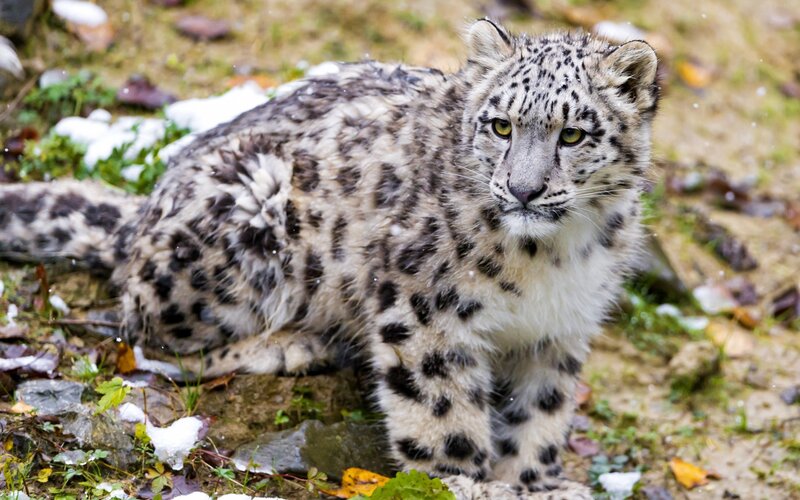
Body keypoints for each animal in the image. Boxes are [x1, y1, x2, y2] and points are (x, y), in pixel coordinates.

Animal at [0, 19, 659, 497]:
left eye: (572, 134)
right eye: (500, 125)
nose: (523, 190)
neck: (553, 257)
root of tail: (143, 217)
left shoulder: (560, 330)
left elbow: (541, 416)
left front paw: (535, 483)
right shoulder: (426, 312)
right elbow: (442, 411)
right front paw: (464, 482)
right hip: (245, 230)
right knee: (149, 336)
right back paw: (294, 345)